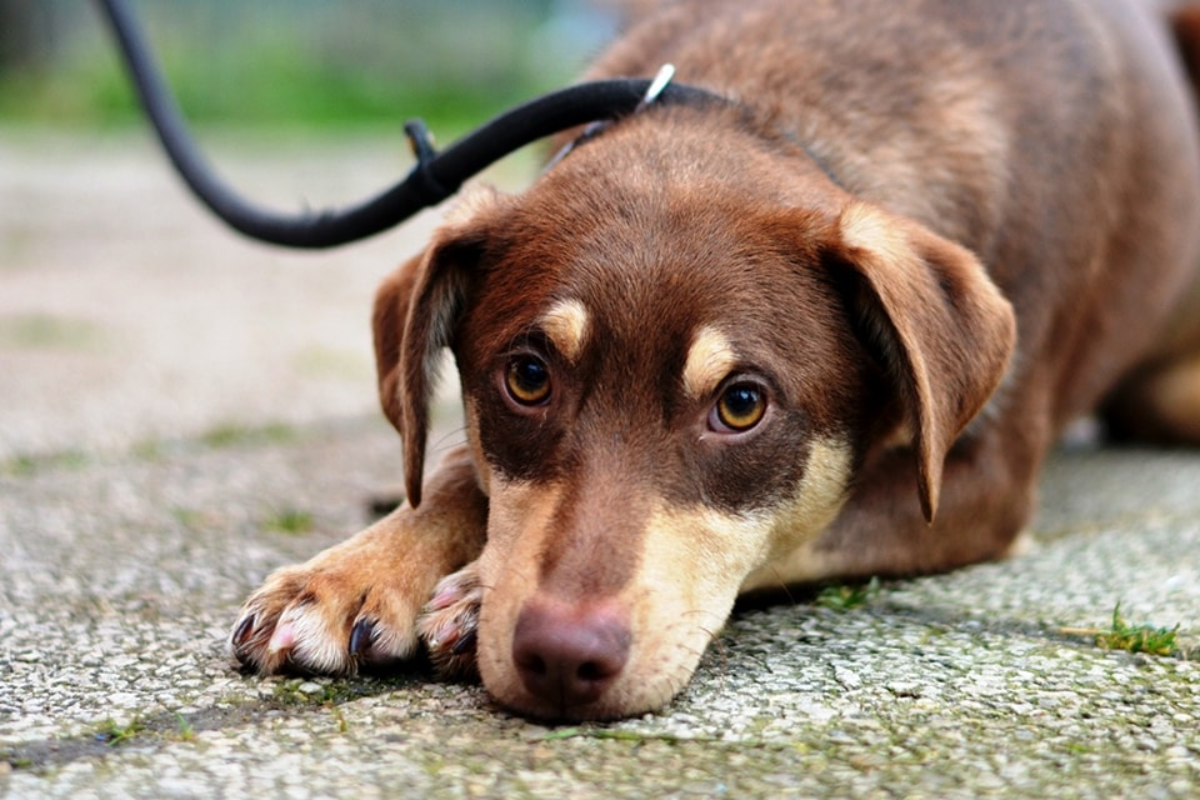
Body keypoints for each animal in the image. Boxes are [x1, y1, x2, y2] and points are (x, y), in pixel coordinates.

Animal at [229, 0, 1200, 724]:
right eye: (528, 377)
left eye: (741, 405)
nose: (558, 658)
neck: (768, 103)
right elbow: (463, 472)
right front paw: (351, 573)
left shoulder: (983, 481)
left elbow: (808, 524)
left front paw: (469, 595)